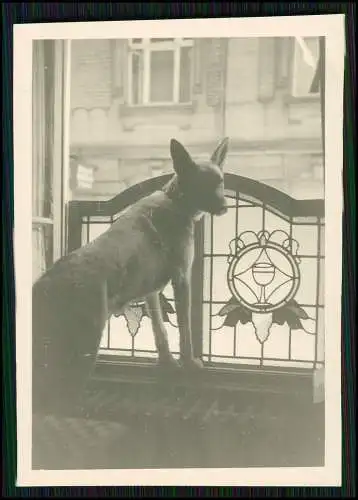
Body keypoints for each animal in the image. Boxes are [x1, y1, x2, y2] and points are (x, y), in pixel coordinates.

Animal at [33, 137, 229, 414]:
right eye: (202, 185)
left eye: (220, 182)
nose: (224, 207)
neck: (175, 199)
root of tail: (46, 283)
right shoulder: (182, 279)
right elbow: (185, 331)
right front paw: (189, 365)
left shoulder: (151, 292)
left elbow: (160, 331)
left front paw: (167, 363)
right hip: (83, 349)